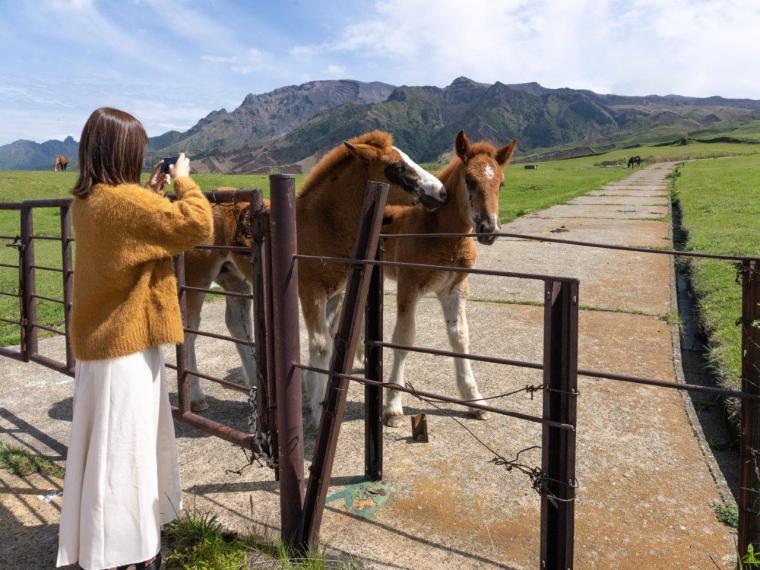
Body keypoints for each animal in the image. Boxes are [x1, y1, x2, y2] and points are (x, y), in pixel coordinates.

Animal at [181, 131, 447, 414]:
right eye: (397, 167)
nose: (441, 192)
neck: (321, 223)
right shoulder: (311, 292)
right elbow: (320, 346)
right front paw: (319, 410)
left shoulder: (335, 293)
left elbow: (330, 339)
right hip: (198, 277)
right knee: (190, 329)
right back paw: (196, 397)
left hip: (234, 279)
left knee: (238, 325)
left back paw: (255, 389)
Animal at [379, 131, 517, 426]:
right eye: (470, 180)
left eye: (501, 183)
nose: (489, 229)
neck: (438, 231)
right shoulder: (408, 287)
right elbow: (403, 338)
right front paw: (393, 407)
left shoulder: (454, 288)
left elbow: (459, 337)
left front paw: (474, 399)